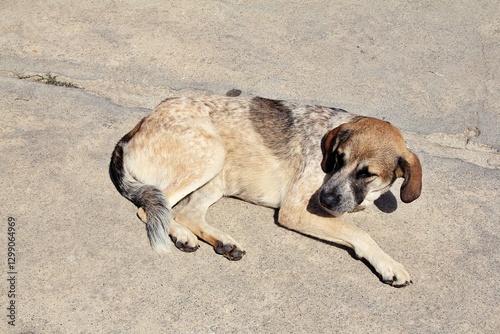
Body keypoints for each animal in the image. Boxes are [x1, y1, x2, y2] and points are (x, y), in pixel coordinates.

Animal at [109, 93, 422, 288]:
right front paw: (389, 264)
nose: (324, 199)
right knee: (151, 208)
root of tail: (135, 129)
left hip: (218, 175)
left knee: (186, 213)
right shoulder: (295, 210)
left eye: (367, 174)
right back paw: (183, 236)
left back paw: (221, 242)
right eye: (338, 158)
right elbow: (360, 233)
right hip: (211, 153)